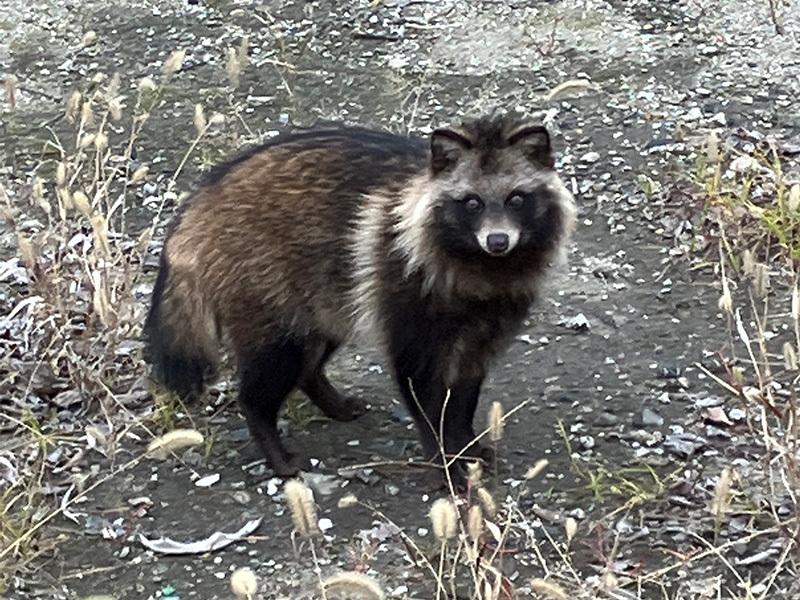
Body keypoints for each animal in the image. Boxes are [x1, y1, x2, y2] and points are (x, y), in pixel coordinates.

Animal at [145, 116, 576, 482]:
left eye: (516, 199)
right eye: (472, 203)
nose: (498, 240)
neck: (483, 264)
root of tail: (199, 204)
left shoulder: (488, 321)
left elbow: (464, 391)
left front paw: (464, 443)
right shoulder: (405, 291)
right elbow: (420, 385)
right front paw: (444, 460)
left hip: (321, 294)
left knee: (311, 353)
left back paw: (326, 396)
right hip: (263, 289)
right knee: (272, 370)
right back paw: (271, 441)